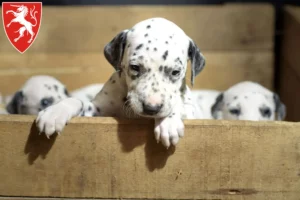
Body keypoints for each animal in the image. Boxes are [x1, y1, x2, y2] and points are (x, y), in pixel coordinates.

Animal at [36, 17, 206, 148]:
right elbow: (79, 101)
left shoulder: (192, 113)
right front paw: (56, 112)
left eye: (175, 72)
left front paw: (169, 122)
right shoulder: (97, 111)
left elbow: (179, 105)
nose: (151, 108)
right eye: (135, 67)